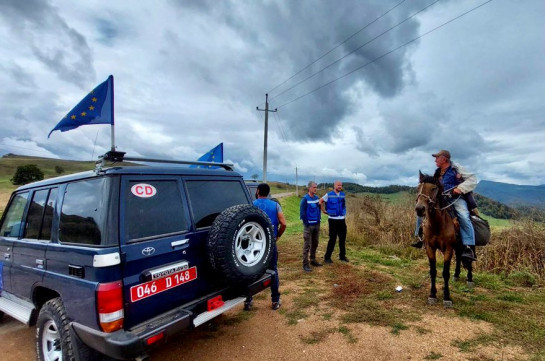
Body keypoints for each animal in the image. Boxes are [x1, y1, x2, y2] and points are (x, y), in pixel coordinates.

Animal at [412, 170, 472, 306]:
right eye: (418, 188)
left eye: (434, 188)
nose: (420, 209)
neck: (437, 225)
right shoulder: (430, 247)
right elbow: (433, 271)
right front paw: (432, 294)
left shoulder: (448, 248)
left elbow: (445, 273)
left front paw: (446, 297)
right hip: (457, 246)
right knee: (459, 256)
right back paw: (456, 275)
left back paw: (470, 278)